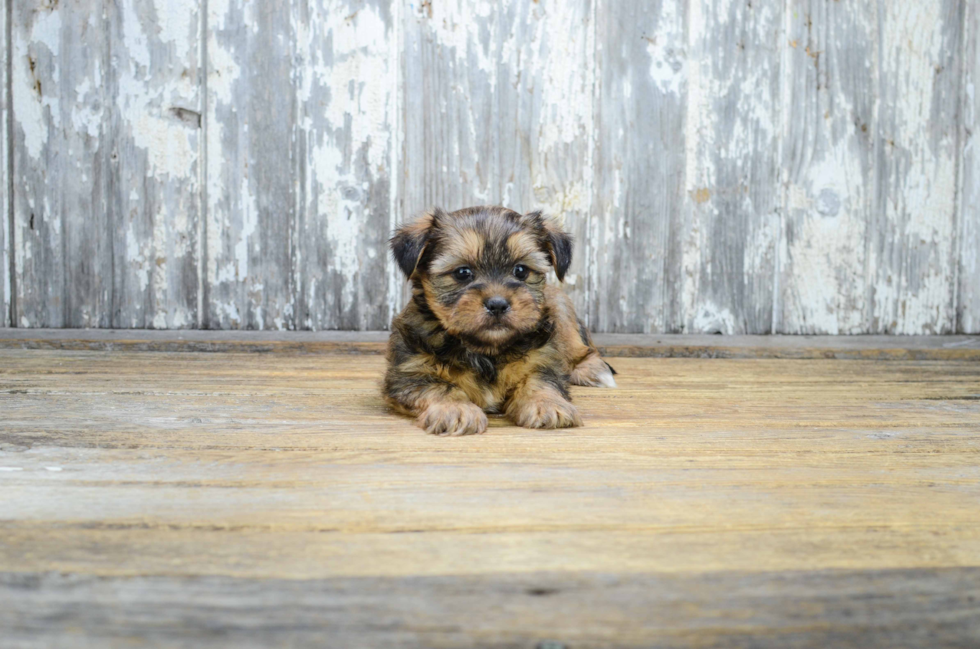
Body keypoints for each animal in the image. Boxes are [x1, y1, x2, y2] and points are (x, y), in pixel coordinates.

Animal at [382, 205, 612, 436]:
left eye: (521, 270)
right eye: (462, 272)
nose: (498, 304)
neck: (486, 350)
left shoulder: (542, 358)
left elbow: (540, 380)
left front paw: (547, 404)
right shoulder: (410, 371)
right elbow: (438, 386)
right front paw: (455, 409)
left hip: (562, 309)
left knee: (583, 349)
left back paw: (592, 370)